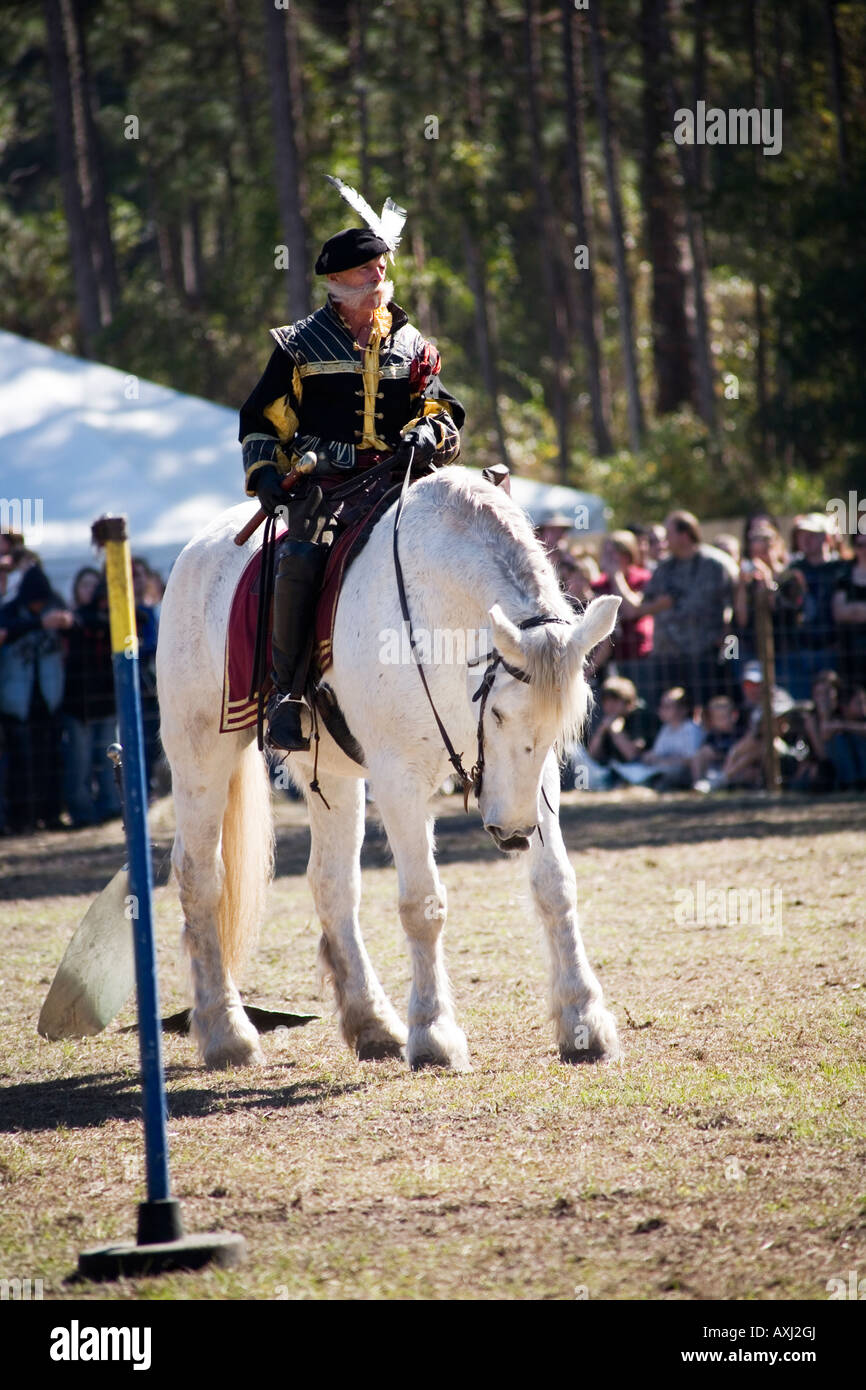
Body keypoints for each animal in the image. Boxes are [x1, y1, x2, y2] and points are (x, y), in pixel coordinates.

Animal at [155, 469, 622, 1073]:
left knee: (332, 885)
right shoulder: (401, 780)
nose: (514, 832)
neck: (436, 610)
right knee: (200, 878)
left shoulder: (533, 784)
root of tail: (197, 553)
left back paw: (372, 1024)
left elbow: (554, 886)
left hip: (330, 776)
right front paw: (434, 1033)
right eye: (497, 712)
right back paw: (225, 1032)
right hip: (200, 755)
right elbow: (422, 905)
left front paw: (583, 1021)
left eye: (562, 728)